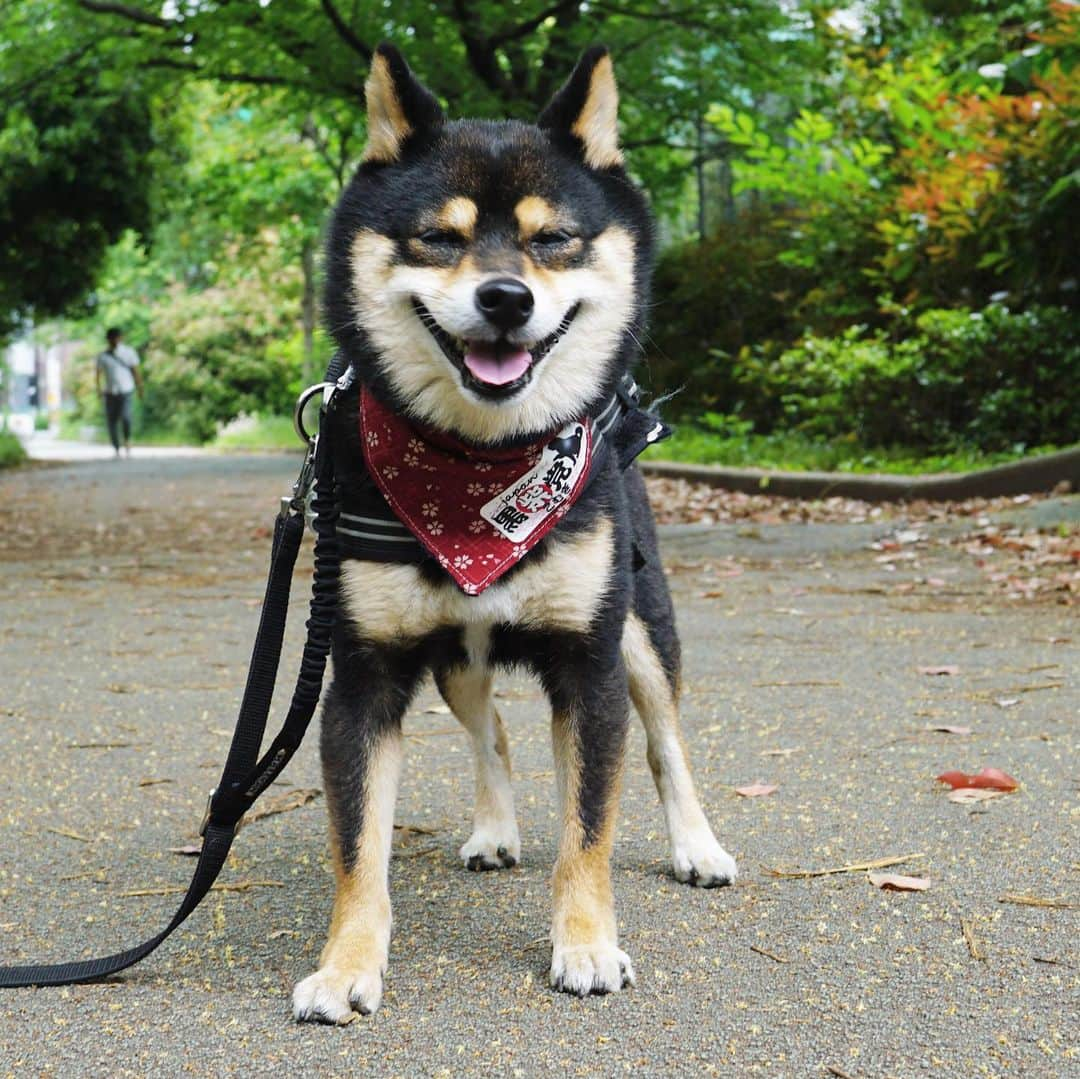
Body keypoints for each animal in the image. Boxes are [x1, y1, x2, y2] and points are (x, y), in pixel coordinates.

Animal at [291, 44, 738, 1019]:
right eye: (439, 237)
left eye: (553, 239)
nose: (505, 298)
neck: (479, 470)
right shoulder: (364, 677)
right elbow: (357, 848)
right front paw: (346, 964)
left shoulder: (590, 664)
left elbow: (589, 827)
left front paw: (588, 944)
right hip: (458, 652)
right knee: (488, 726)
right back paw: (494, 827)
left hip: (641, 626)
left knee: (668, 742)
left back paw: (697, 845)